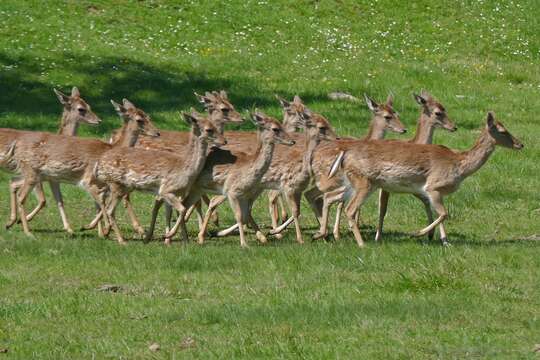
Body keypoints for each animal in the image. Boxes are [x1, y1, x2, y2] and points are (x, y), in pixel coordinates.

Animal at [0, 87, 101, 233]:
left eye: (89, 105)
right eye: (81, 109)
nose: (98, 120)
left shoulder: (52, 179)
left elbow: (59, 200)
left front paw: (69, 228)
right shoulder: (39, 175)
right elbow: (43, 200)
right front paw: (22, 220)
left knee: (12, 182)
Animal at [11, 100, 159, 238]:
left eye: (148, 116)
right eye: (139, 120)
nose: (157, 132)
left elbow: (102, 204)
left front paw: (100, 230)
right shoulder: (94, 181)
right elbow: (102, 203)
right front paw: (101, 230)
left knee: (15, 183)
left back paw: (13, 222)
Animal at [189, 112, 294, 248]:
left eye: (281, 124)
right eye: (275, 128)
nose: (292, 141)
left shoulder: (245, 195)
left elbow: (245, 215)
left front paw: (262, 237)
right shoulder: (232, 192)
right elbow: (239, 216)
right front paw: (244, 243)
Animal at [336, 112, 520, 248]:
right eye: (502, 130)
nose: (520, 144)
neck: (459, 167)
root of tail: (345, 158)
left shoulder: (433, 192)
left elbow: (440, 213)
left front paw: (444, 241)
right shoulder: (433, 186)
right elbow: (444, 213)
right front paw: (417, 233)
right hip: (364, 182)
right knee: (350, 209)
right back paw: (362, 244)